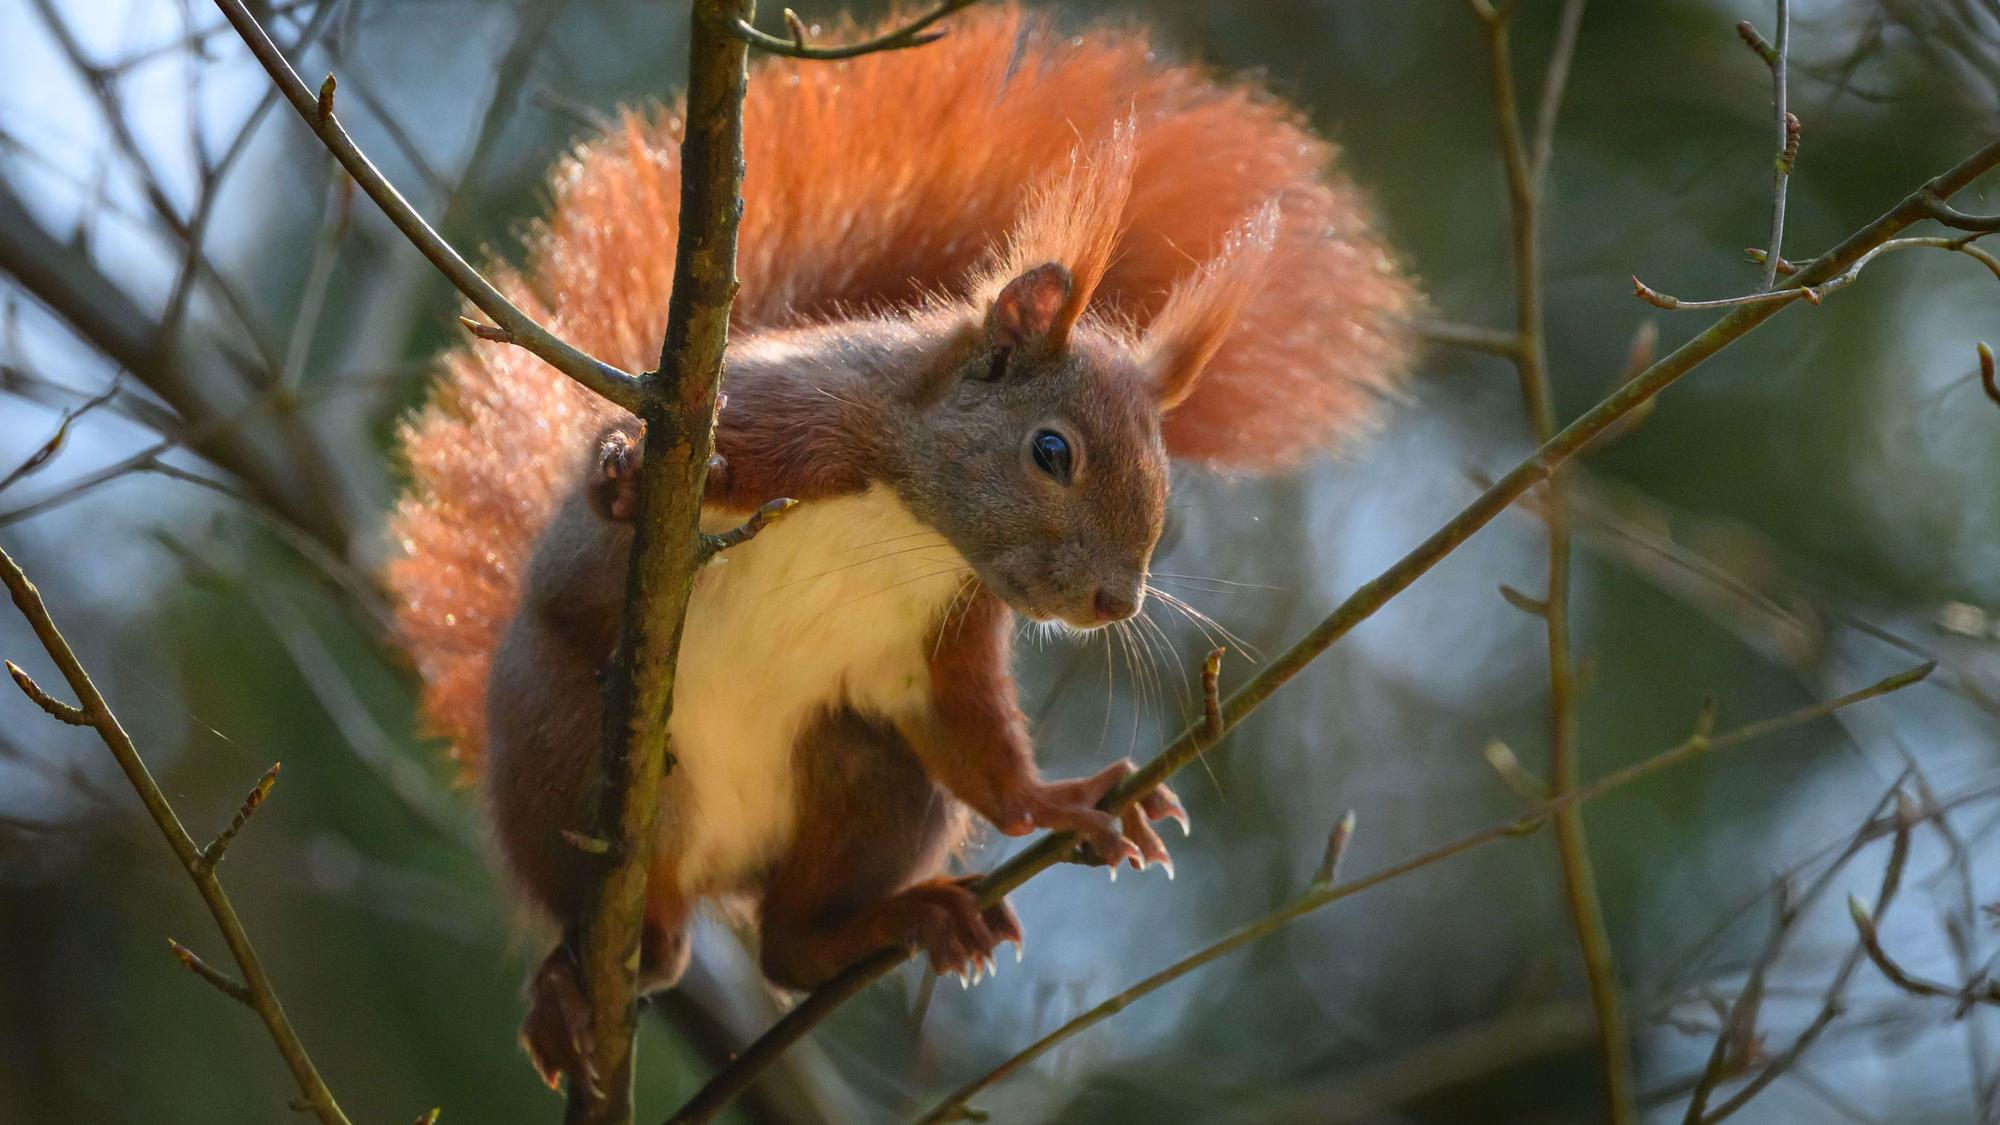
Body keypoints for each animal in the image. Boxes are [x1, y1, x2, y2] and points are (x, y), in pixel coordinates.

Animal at [386, 3, 1415, 1092]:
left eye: (1166, 484)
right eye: (1051, 450)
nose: (1117, 602)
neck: (911, 526)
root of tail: (705, 875)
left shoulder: (944, 633)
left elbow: (978, 746)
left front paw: (1068, 799)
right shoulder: (790, 418)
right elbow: (648, 460)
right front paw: (622, 473)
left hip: (872, 776)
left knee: (786, 946)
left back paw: (901, 922)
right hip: (564, 741)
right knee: (591, 895)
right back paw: (565, 987)